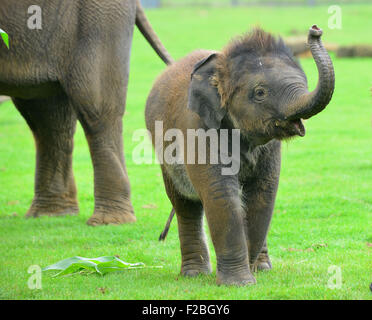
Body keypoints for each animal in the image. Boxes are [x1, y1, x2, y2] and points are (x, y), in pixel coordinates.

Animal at [145, 25, 334, 284]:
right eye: (260, 92)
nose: (315, 30)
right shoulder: (198, 128)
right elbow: (220, 194)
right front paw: (240, 283)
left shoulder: (270, 148)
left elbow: (263, 195)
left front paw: (249, 274)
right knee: (184, 203)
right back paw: (194, 274)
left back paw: (262, 268)